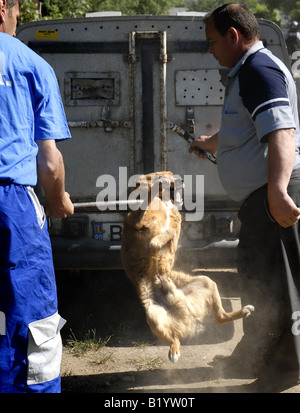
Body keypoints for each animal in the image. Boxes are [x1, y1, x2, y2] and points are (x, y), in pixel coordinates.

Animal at [120, 171, 254, 360]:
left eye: (171, 174)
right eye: (164, 176)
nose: (180, 180)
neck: (164, 202)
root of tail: (189, 314)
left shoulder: (174, 225)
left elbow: (167, 232)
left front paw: (157, 242)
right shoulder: (136, 222)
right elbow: (148, 210)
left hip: (206, 281)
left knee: (218, 318)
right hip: (153, 315)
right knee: (176, 338)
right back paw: (174, 351)